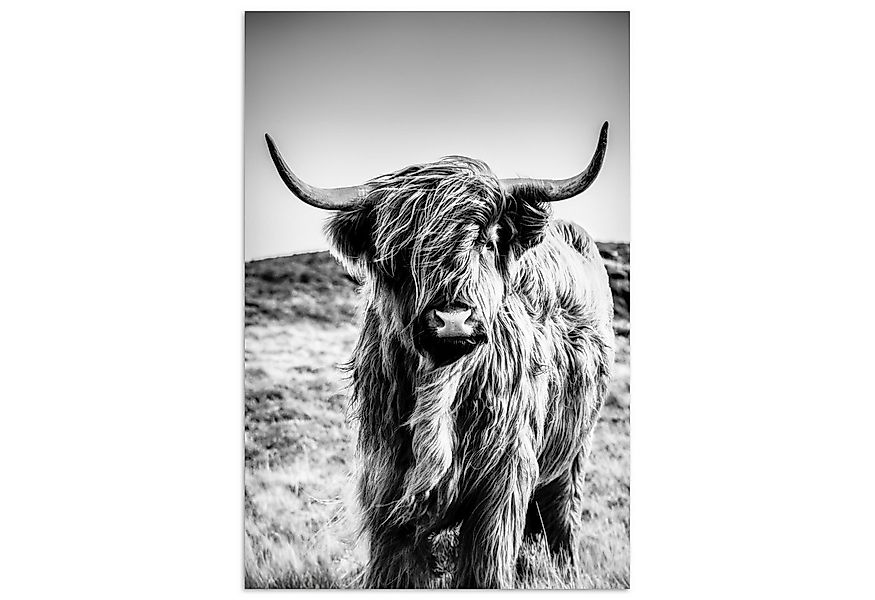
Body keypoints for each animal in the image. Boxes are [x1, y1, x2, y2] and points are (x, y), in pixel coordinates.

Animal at [265, 122, 615, 588]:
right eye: (400, 252)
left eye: (488, 241)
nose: (452, 319)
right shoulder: (386, 486)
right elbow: (395, 571)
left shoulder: (502, 485)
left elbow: (486, 569)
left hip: (573, 456)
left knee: (562, 526)